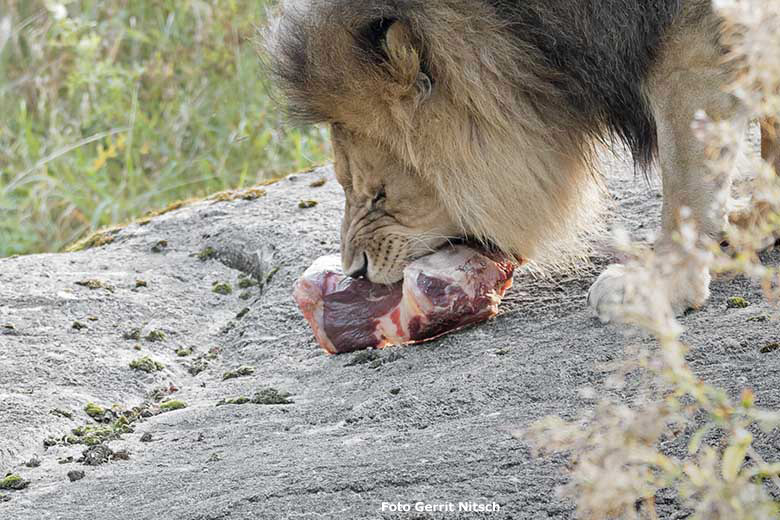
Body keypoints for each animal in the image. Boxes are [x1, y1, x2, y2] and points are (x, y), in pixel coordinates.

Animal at [266, 1, 776, 320]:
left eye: (379, 195)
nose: (355, 271)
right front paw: (758, 222)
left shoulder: (694, 37)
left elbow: (685, 188)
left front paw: (657, 287)